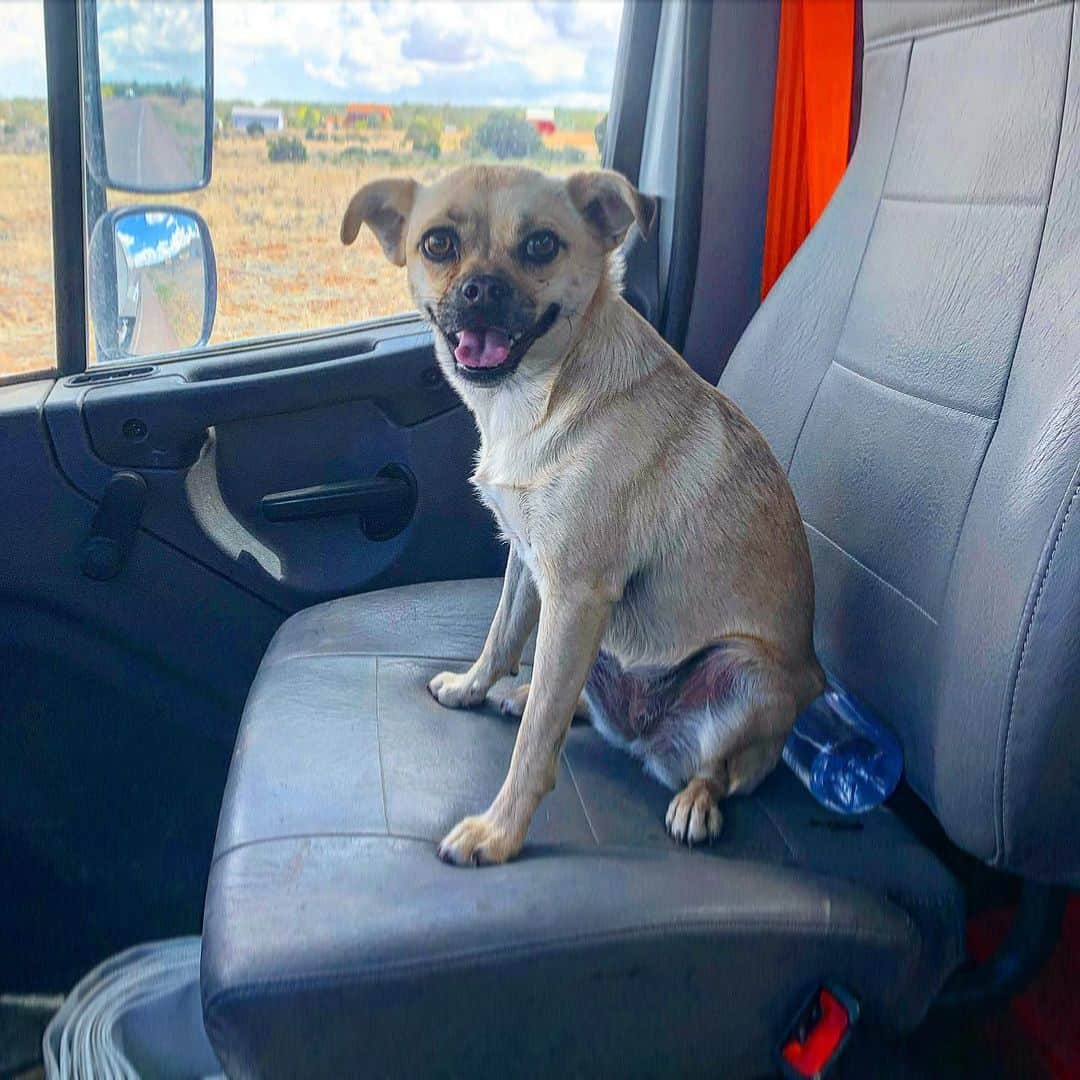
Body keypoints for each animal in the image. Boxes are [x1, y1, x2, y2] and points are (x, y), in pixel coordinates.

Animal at [341, 162, 820, 868]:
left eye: (541, 245)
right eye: (437, 244)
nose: (481, 289)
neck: (537, 394)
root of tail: (644, 736)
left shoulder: (574, 593)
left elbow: (537, 747)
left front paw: (499, 833)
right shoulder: (527, 564)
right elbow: (501, 636)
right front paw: (473, 686)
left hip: (745, 673)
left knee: (719, 771)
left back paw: (694, 802)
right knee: (569, 699)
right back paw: (529, 698)